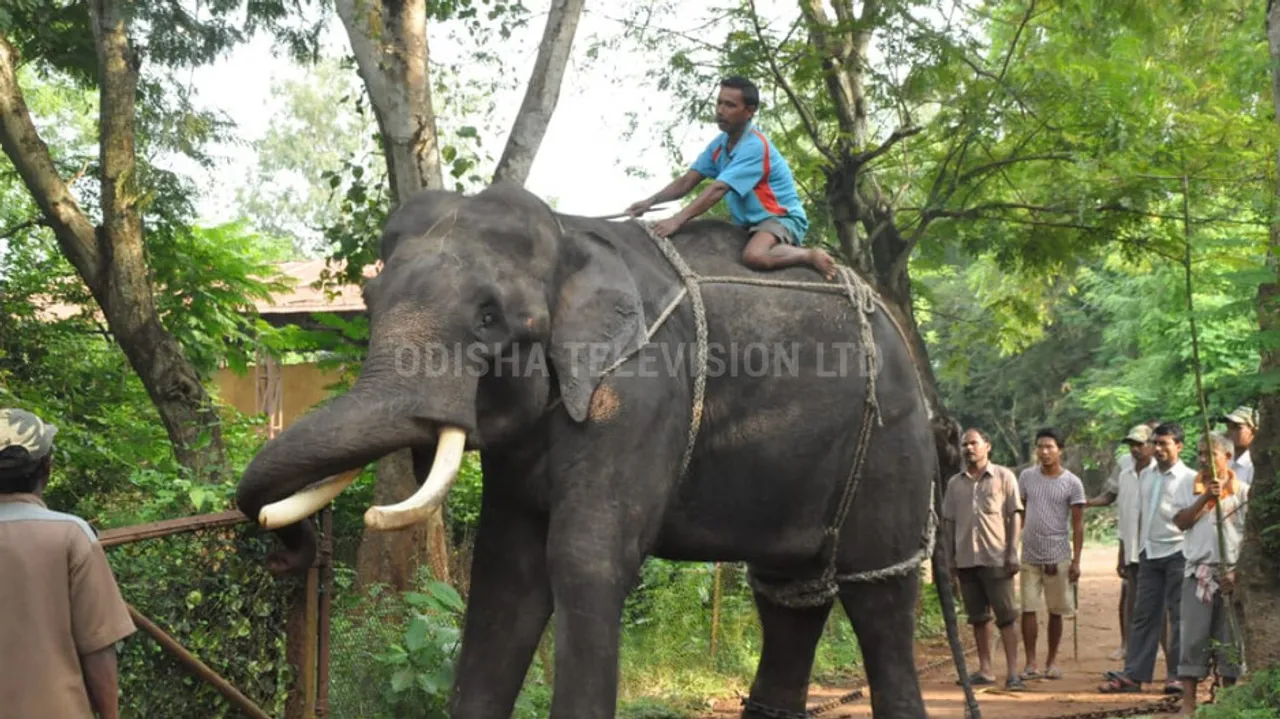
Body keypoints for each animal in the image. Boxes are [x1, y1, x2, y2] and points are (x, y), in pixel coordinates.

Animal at [235, 182, 976, 718]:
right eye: (369, 299)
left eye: (490, 317)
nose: (285, 555)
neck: (569, 236)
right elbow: (506, 573)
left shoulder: (641, 393)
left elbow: (583, 560)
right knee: (790, 595)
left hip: (890, 443)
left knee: (878, 598)